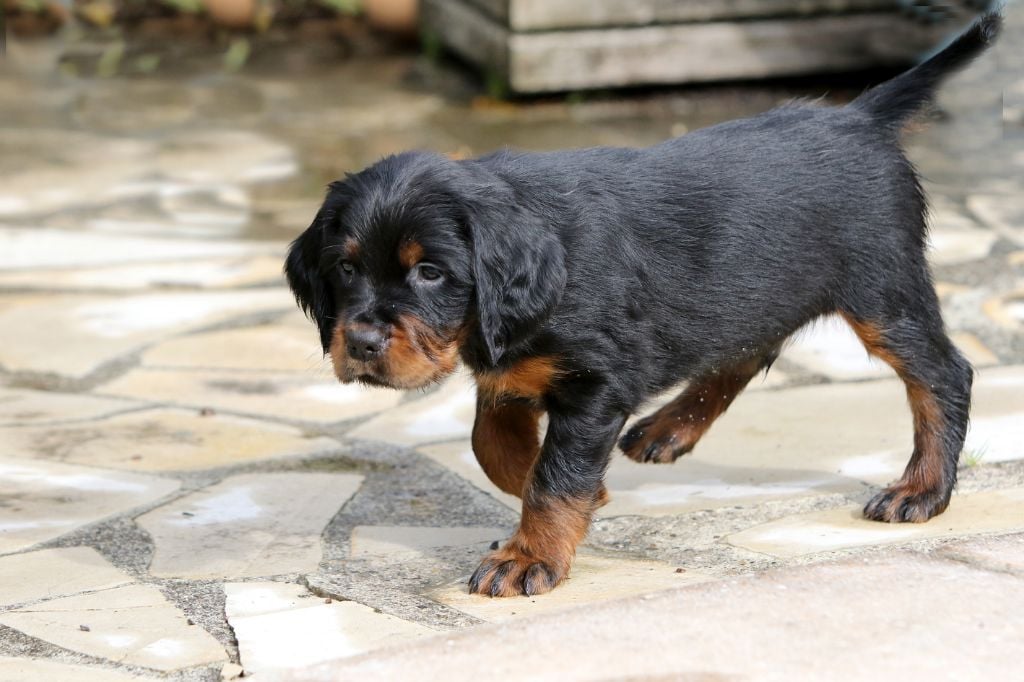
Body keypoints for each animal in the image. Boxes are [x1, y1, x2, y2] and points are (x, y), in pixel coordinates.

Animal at [285, 14, 1001, 597]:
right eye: (344, 269)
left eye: (430, 273)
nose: (362, 345)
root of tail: (861, 116)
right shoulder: (509, 362)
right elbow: (493, 443)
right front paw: (555, 498)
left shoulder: (596, 379)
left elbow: (555, 474)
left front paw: (529, 556)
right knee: (746, 349)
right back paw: (670, 427)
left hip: (883, 291)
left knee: (943, 373)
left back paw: (922, 489)